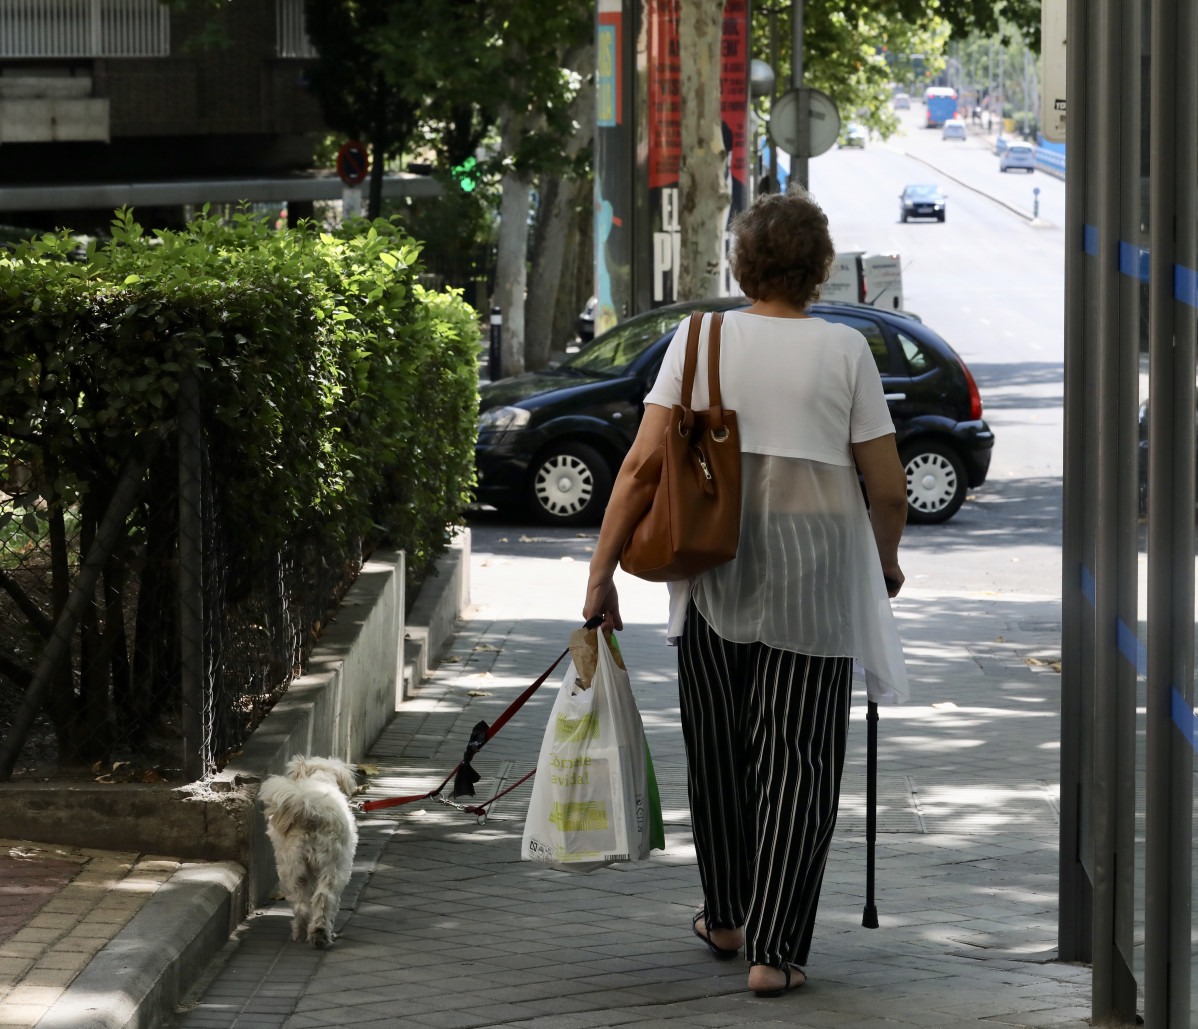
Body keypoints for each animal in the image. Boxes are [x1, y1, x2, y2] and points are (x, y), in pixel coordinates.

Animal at [258, 757, 359, 948]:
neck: (321, 779)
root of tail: (311, 809)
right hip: (333, 866)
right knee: (324, 898)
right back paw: (320, 933)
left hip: (293, 867)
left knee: (301, 904)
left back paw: (303, 933)